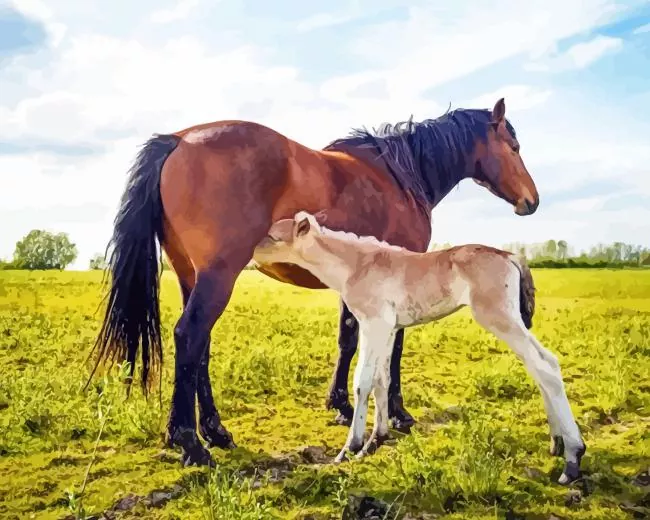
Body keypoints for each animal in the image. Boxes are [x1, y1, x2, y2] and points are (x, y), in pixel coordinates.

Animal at [88, 97, 540, 467]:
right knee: (190, 336)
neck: (400, 176)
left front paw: (339, 405)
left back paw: (215, 432)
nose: (532, 201)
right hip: (218, 276)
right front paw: (398, 414)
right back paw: (190, 443)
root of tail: (179, 140)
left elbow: (347, 337)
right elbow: (392, 351)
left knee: (200, 348)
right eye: (514, 147)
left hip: (190, 275)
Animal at [254, 211, 586, 485]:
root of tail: (510, 255)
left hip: (498, 318)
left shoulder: (374, 324)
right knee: (539, 367)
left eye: (272, 236)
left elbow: (362, 381)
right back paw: (557, 443)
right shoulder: (388, 329)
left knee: (546, 365)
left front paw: (350, 448)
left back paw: (573, 458)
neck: (357, 265)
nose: (250, 255)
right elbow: (381, 380)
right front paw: (376, 440)